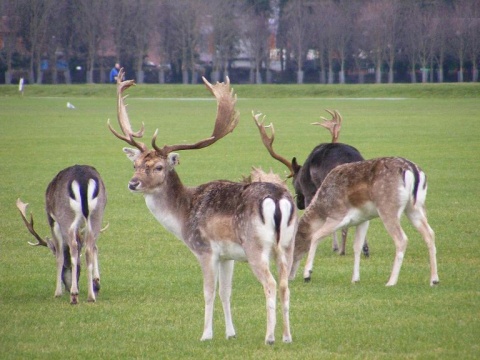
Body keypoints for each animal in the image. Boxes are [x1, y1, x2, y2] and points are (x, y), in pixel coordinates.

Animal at [16, 165, 107, 304]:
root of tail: (83, 178)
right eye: (79, 270)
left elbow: (59, 256)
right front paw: (96, 283)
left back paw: (74, 296)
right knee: (89, 248)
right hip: (97, 215)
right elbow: (93, 247)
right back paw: (91, 296)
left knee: (73, 247)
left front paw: (57, 292)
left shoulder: (53, 220)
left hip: (66, 217)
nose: (68, 288)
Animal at [108, 69, 296, 344]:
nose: (133, 183)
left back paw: (269, 337)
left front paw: (206, 334)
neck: (184, 213)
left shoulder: (205, 249)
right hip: (287, 245)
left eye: (159, 167)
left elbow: (208, 292)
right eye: (136, 164)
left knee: (270, 284)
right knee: (284, 284)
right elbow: (226, 292)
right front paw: (230, 333)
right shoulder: (228, 256)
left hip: (256, 246)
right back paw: (287, 336)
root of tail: (278, 198)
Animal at [292, 158, 438, 286]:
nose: (290, 275)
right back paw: (434, 280)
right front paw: (355, 279)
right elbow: (357, 246)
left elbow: (316, 236)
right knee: (429, 233)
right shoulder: (363, 220)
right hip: (416, 207)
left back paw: (391, 282)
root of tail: (412, 170)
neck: (322, 209)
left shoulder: (338, 216)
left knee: (402, 239)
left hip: (388, 207)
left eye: (292, 245)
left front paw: (307, 274)